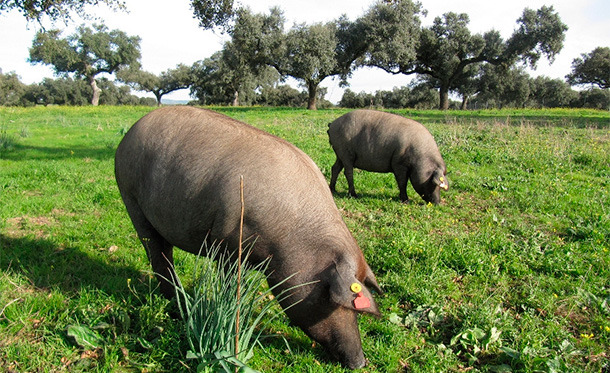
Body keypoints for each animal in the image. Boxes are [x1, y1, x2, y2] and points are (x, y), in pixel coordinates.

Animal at [114, 106, 380, 368]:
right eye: (332, 300)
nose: (360, 362)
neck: (290, 241)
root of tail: (130, 133)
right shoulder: (227, 243)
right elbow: (231, 286)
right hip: (131, 199)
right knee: (156, 252)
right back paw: (177, 303)